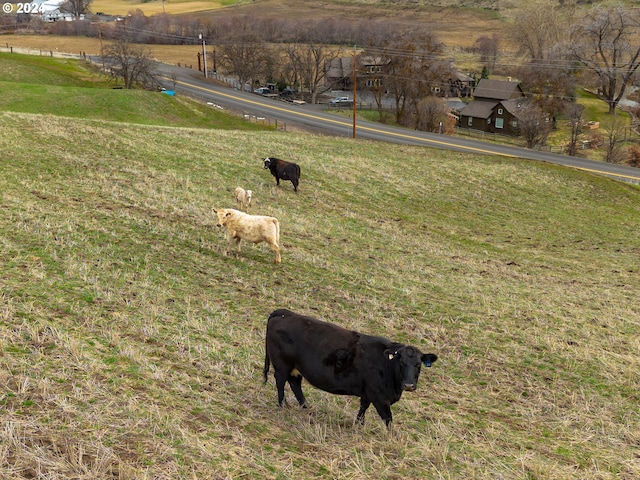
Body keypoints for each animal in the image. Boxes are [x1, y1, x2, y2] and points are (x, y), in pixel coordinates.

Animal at [262, 312, 438, 428]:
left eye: (418, 364)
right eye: (401, 362)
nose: (409, 385)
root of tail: (285, 313)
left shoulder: (367, 393)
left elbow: (363, 408)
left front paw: (359, 424)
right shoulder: (379, 397)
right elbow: (388, 419)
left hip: (295, 368)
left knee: (295, 384)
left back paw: (306, 407)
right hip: (282, 366)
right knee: (280, 382)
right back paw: (282, 405)